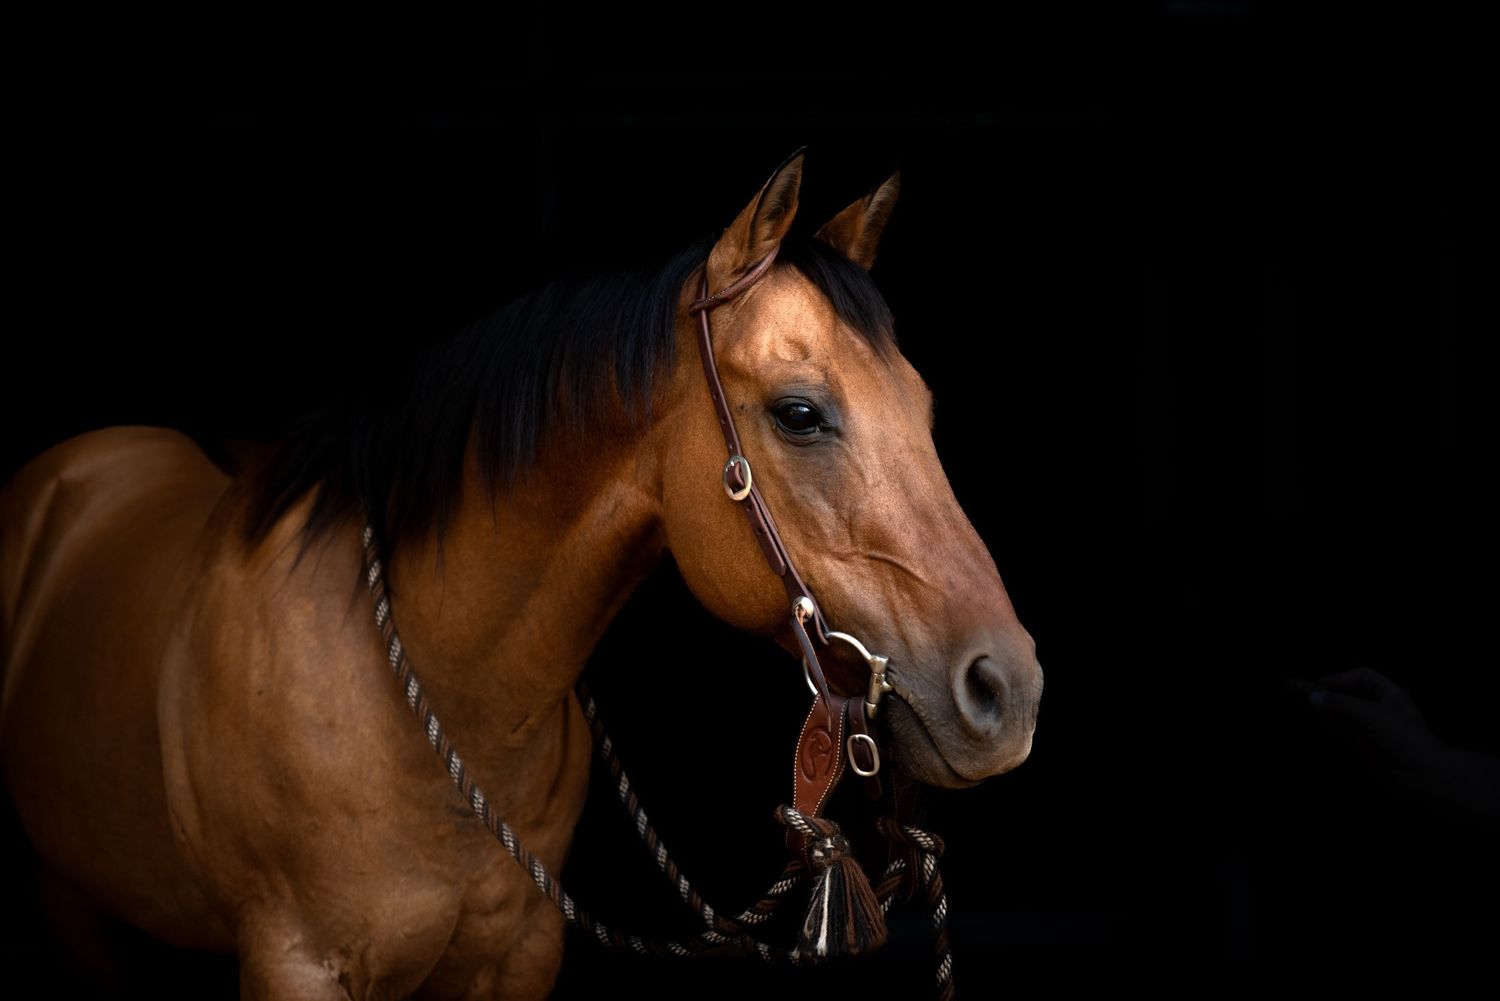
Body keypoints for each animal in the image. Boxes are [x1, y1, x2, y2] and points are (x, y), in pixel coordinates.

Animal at [0, 151, 1042, 999]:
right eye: (799, 412)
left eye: (923, 404)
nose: (1009, 689)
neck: (440, 702)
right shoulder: (293, 963)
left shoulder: (521, 957)